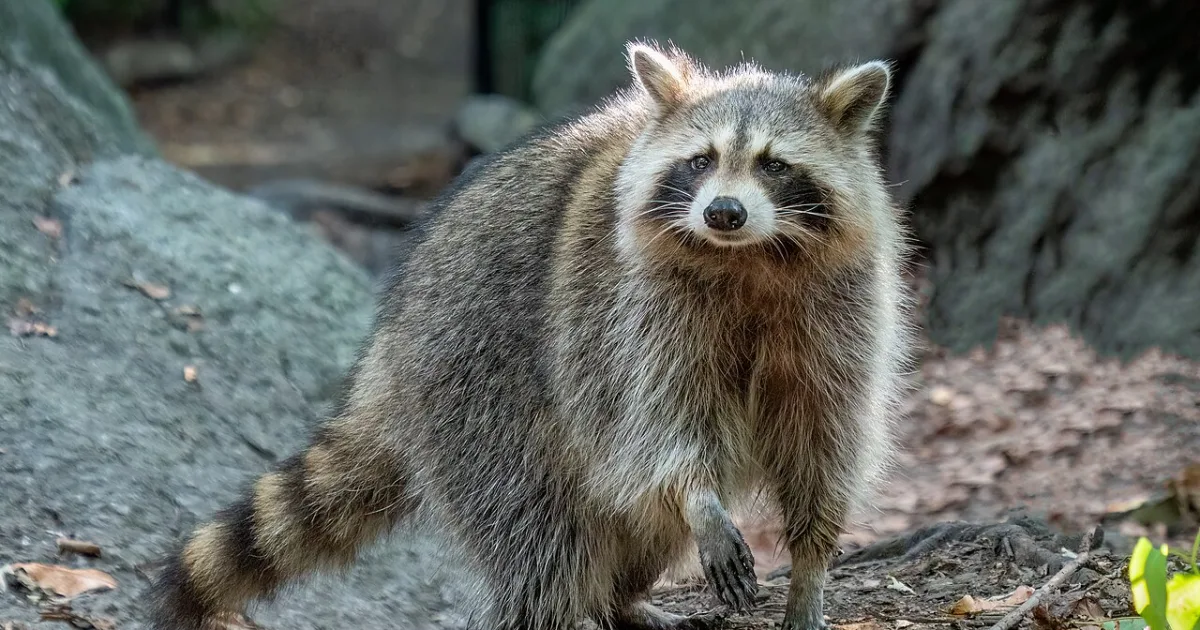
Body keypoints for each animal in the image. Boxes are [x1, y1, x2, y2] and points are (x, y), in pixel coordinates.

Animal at [146, 41, 914, 630]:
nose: (723, 211)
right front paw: (700, 495)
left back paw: (623, 598)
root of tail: (389, 349)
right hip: (477, 384)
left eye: (774, 165)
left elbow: (826, 437)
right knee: (541, 533)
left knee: (632, 521)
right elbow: (660, 423)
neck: (750, 258)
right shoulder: (631, 310)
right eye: (700, 160)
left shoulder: (842, 311)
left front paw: (810, 567)